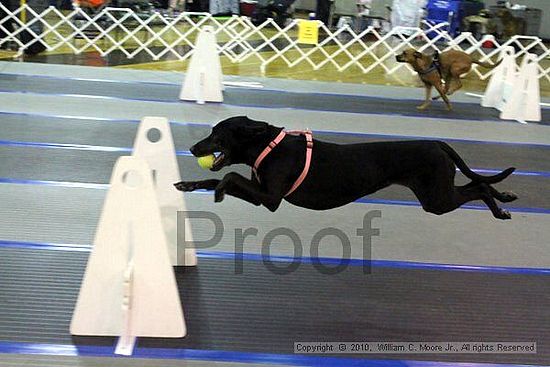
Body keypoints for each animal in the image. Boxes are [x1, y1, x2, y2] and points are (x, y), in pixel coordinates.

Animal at [175, 116, 520, 220]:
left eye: (216, 135)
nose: (192, 148)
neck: (268, 145)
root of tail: (438, 143)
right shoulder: (261, 195)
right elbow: (215, 177)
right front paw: (188, 185)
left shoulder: (270, 198)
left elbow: (229, 175)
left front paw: (219, 191)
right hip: (436, 192)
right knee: (477, 184)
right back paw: (504, 199)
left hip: (436, 198)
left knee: (478, 186)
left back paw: (500, 209)